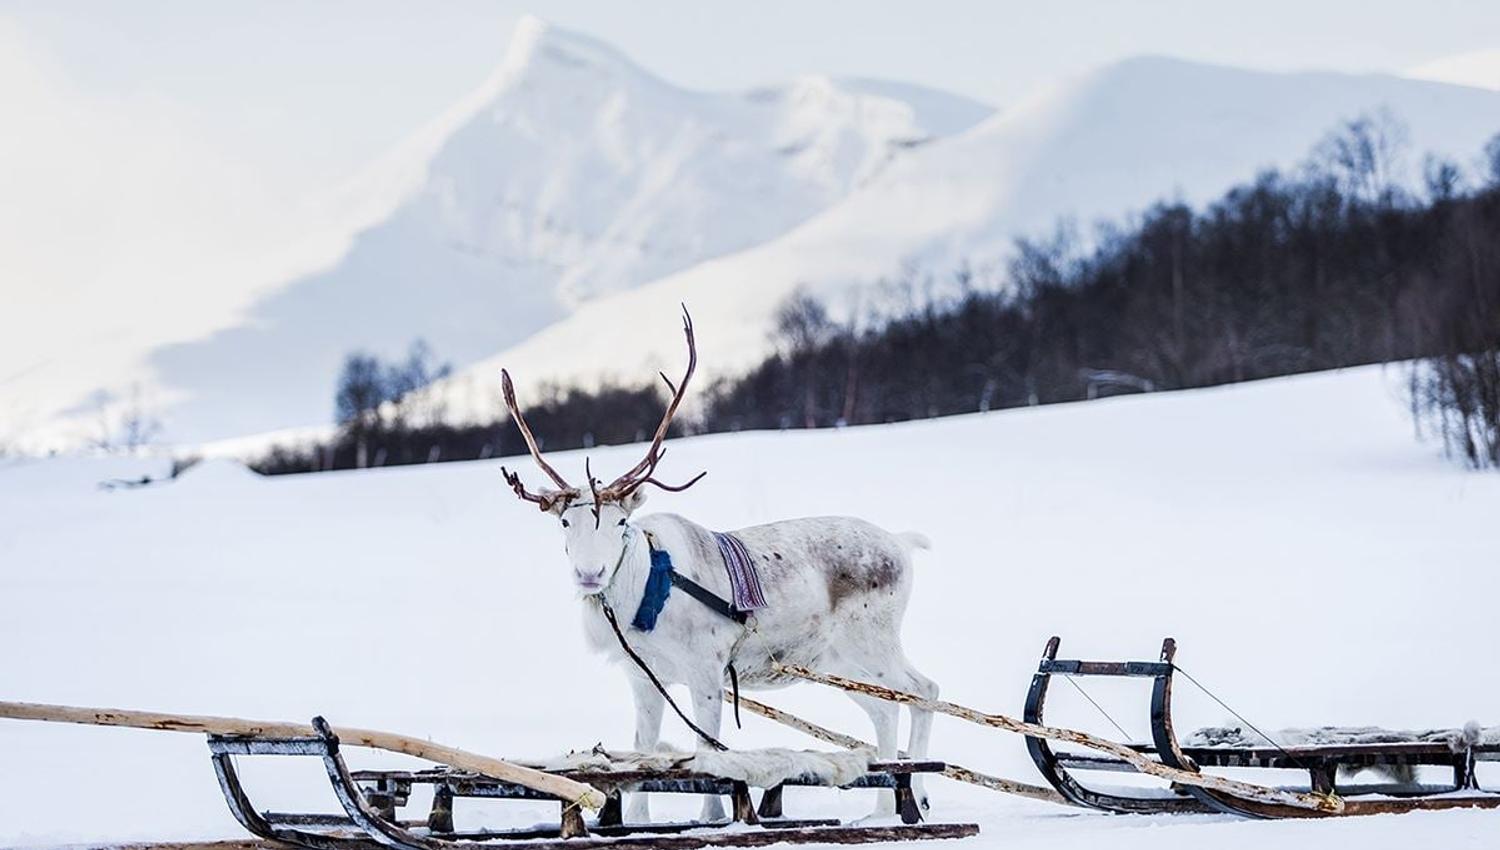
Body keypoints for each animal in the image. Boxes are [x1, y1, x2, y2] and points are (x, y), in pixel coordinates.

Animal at [499, 307, 939, 824]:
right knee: (885, 709)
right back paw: (882, 808)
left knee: (924, 690)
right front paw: (637, 820)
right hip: (836, 661)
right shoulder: (644, 678)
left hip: (872, 641)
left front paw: (712, 817)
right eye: (566, 521)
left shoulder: (706, 669)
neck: (642, 599)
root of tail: (903, 545)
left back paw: (918, 796)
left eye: (620, 522)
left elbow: (708, 751)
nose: (590, 575)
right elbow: (643, 749)